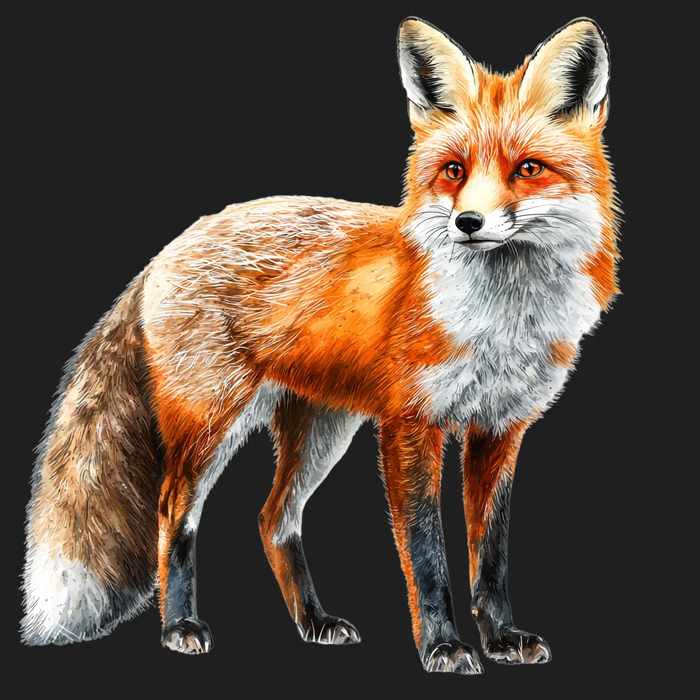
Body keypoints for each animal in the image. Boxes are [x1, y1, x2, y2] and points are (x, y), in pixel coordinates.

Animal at [22, 17, 618, 674]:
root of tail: (171, 245)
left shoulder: (500, 429)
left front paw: (502, 637)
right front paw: (442, 644)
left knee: (272, 520)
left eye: (529, 169)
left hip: (323, 432)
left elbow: (490, 555)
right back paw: (180, 625)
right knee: (172, 514)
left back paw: (313, 621)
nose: (467, 223)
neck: (502, 324)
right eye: (454, 171)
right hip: (211, 425)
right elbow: (427, 554)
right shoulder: (412, 423)